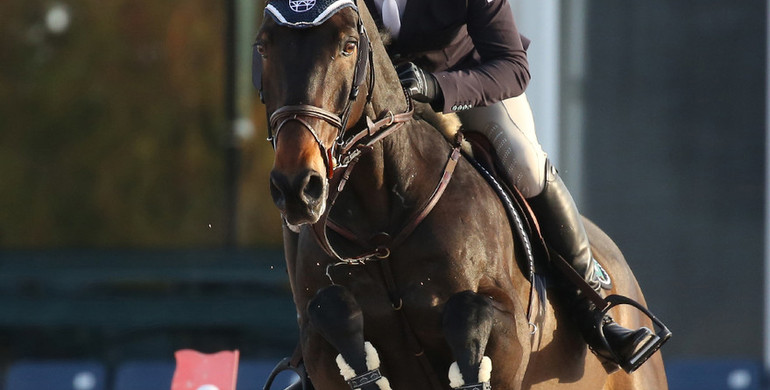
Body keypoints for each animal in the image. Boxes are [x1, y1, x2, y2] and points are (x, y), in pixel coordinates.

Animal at [254, 1, 664, 388]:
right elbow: (329, 309)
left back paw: (615, 331)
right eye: (262, 47)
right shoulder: (317, 346)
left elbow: (469, 312)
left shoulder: (513, 334)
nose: (297, 186)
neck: (380, 220)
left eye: (348, 46)